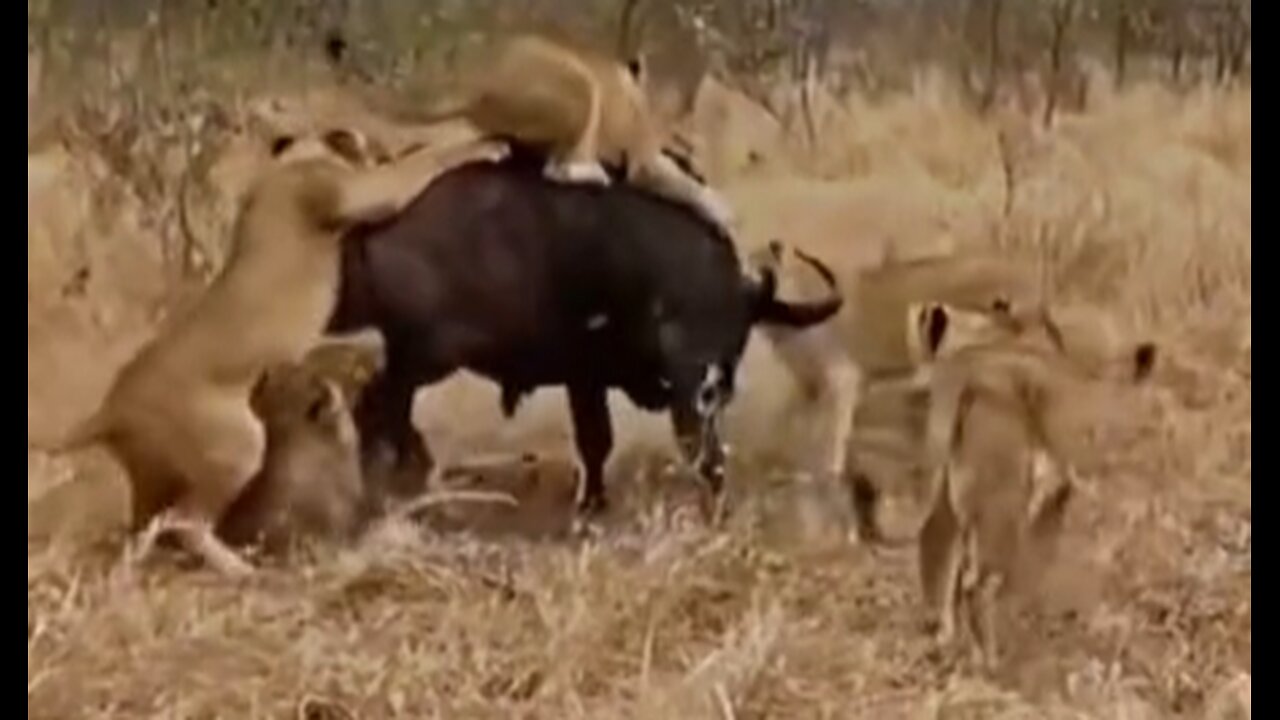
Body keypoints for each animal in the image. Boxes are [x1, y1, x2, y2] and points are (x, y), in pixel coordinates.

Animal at [330, 147, 844, 515]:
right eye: (673, 318)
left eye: (736, 326)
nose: (704, 387)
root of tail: (377, 236)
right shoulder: (585, 375)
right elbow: (597, 439)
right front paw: (592, 504)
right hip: (424, 356)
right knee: (376, 407)